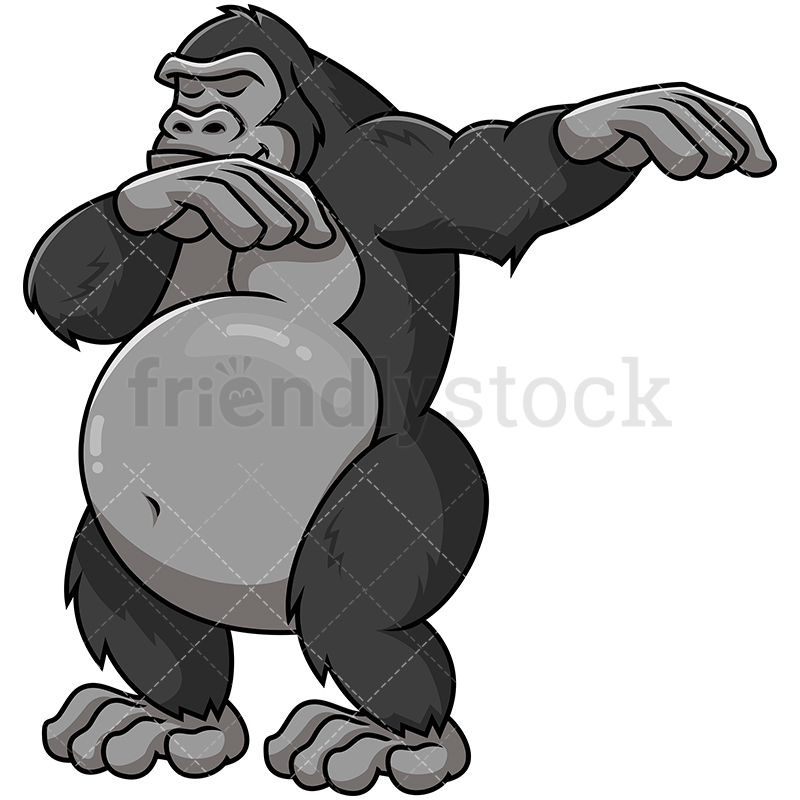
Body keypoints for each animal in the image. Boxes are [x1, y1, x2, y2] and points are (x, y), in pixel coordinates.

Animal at [26, 5, 775, 793]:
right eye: (180, 88)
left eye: (227, 87)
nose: (190, 121)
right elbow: (79, 296)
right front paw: (178, 192)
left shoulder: (385, 162)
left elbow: (484, 184)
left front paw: (605, 126)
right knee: (115, 567)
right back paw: (172, 718)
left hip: (419, 494)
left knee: (352, 600)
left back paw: (396, 737)